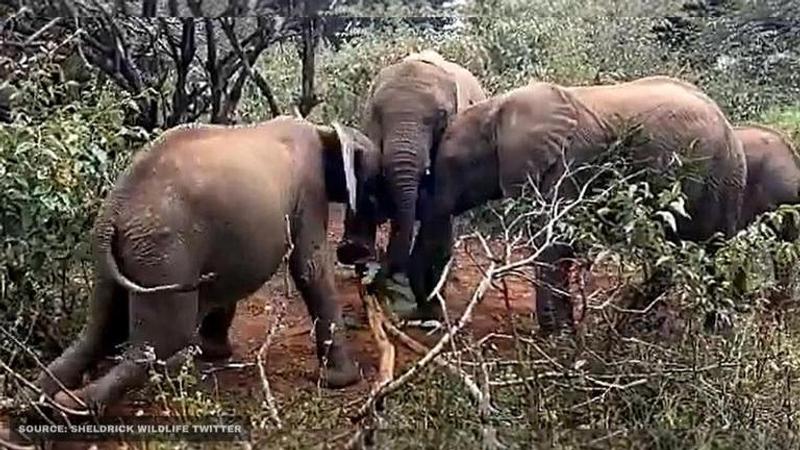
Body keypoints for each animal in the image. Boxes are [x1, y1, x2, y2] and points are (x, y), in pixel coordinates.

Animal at [32, 115, 380, 412]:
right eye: (376, 182)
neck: (324, 129)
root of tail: (115, 210)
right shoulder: (309, 189)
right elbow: (310, 266)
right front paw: (343, 381)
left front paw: (214, 354)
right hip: (164, 253)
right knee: (159, 341)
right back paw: (68, 405)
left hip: (124, 257)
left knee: (99, 331)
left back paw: (40, 400)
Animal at [404, 76, 748, 330]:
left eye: (450, 164)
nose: (426, 317)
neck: (498, 108)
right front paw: (565, 331)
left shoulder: (567, 165)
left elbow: (553, 242)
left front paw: (555, 335)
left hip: (718, 176)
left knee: (712, 250)